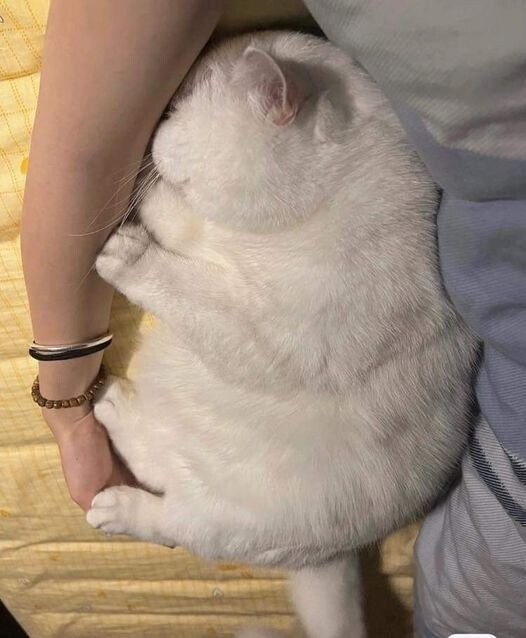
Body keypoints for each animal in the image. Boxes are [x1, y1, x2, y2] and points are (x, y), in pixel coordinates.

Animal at [87, 31, 477, 638]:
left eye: (177, 108)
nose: (153, 124)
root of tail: (333, 553)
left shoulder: (268, 335)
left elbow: (182, 279)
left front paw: (127, 251)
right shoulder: (210, 243)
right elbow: (180, 223)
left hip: (225, 517)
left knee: (174, 520)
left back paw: (114, 473)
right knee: (158, 460)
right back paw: (111, 401)